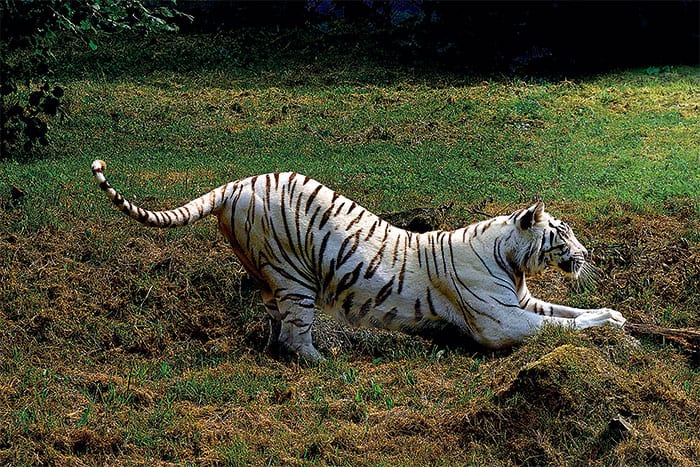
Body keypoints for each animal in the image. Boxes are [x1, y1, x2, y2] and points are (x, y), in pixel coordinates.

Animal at [92, 160, 625, 361]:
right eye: (565, 234)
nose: (586, 254)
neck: (510, 259)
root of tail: (235, 185)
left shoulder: (523, 303)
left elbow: (570, 312)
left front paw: (615, 315)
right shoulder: (504, 321)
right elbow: (562, 326)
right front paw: (609, 328)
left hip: (266, 274)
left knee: (275, 325)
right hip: (295, 276)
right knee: (295, 335)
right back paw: (322, 361)